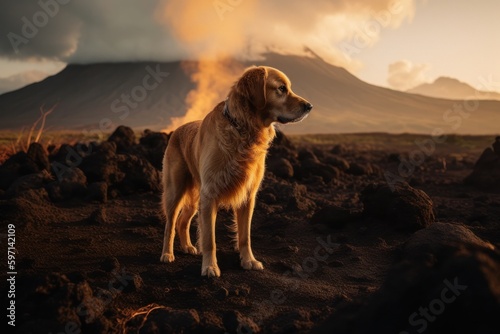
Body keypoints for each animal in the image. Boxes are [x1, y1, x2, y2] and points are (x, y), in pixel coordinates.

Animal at [160, 65, 310, 276]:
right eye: (281, 88)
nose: (309, 106)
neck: (244, 130)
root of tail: (177, 130)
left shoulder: (248, 196)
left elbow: (245, 236)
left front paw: (249, 261)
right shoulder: (210, 194)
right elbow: (210, 239)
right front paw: (210, 266)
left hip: (195, 196)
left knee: (183, 221)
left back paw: (187, 247)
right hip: (176, 189)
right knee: (171, 224)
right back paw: (167, 254)